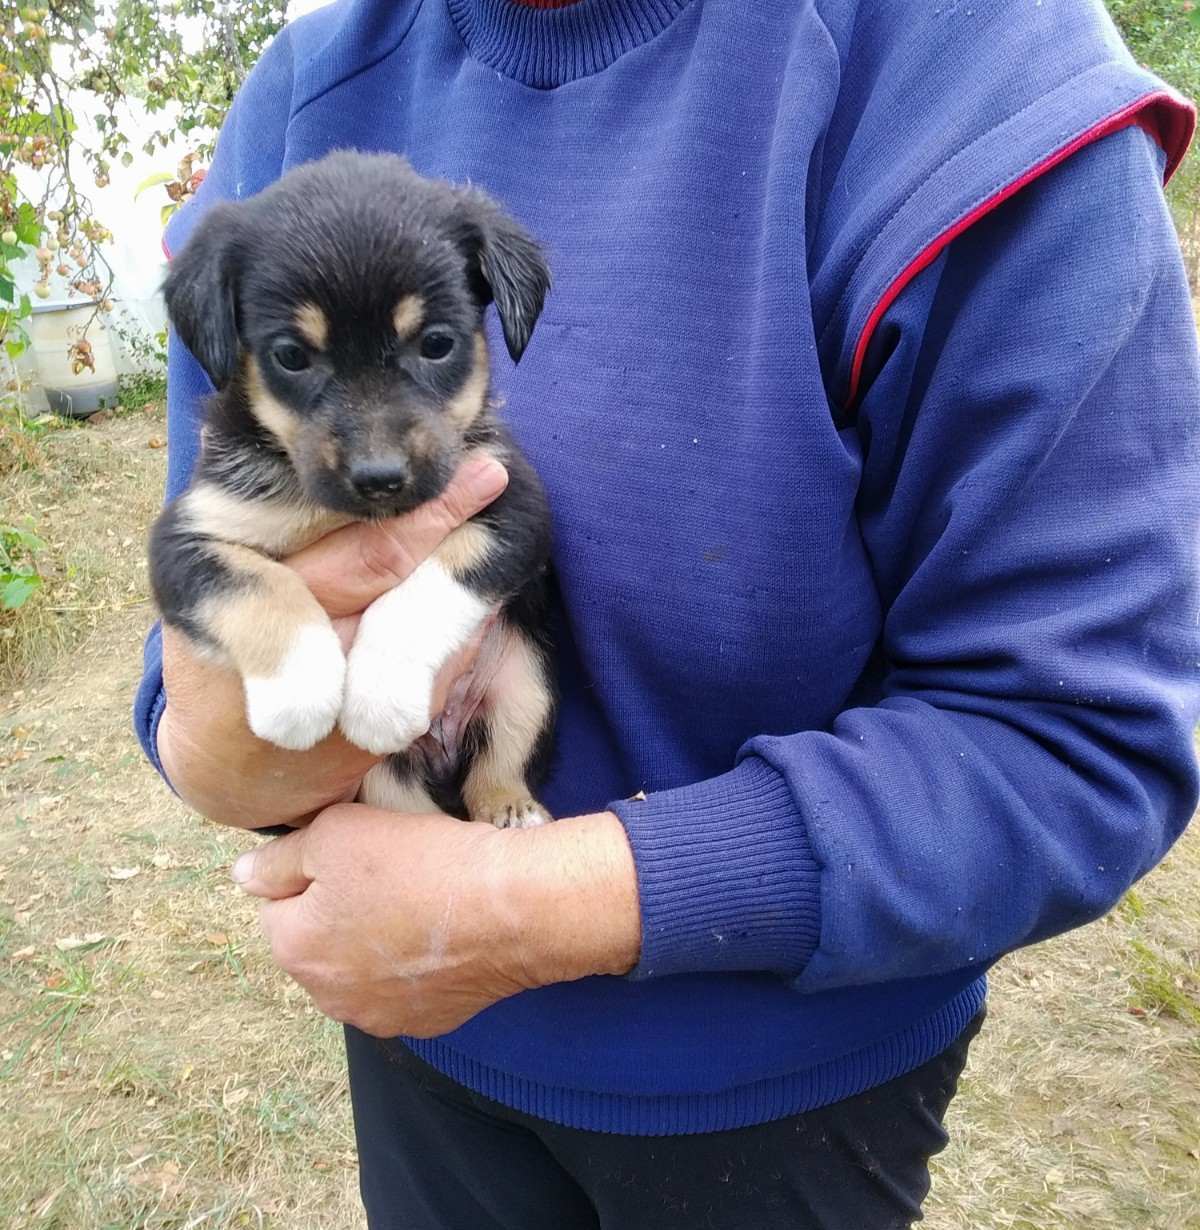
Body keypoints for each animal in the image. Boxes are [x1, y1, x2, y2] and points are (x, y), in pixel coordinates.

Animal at [150, 153, 558, 826]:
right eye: (291, 355)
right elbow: (255, 585)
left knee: (494, 771)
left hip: (527, 685)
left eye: (437, 343)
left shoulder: (513, 504)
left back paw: (512, 809)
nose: (380, 478)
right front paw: (299, 689)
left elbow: (428, 585)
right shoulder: (186, 538)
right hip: (382, 784)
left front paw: (379, 696)